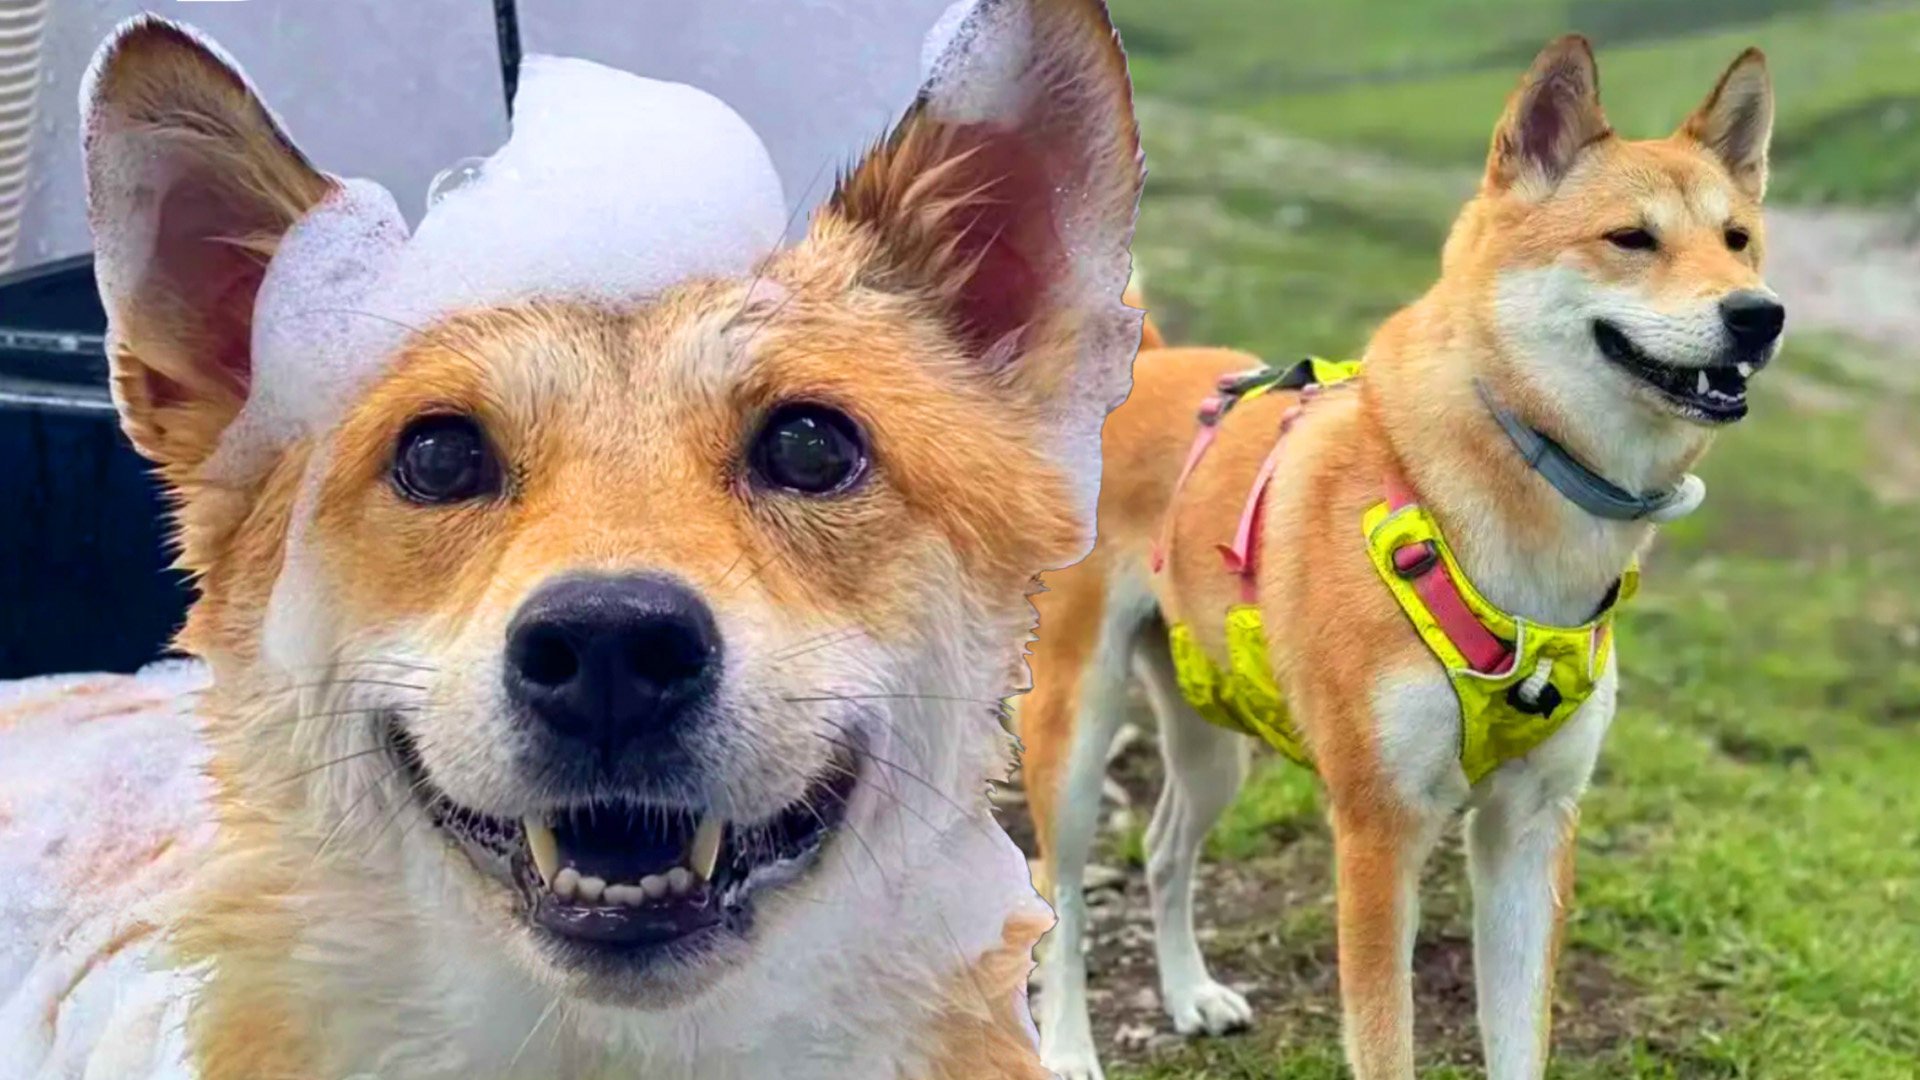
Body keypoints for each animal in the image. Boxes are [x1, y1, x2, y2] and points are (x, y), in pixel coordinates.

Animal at [1029, 35, 1774, 1076]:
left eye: (1737, 239)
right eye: (1631, 239)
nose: (1760, 315)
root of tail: (1153, 367)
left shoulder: (1532, 828)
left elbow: (1520, 1036)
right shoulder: (1380, 831)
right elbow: (1386, 1038)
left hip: (1211, 736)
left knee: (1167, 848)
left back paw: (1189, 994)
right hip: (1075, 726)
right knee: (1058, 894)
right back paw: (1065, 1043)